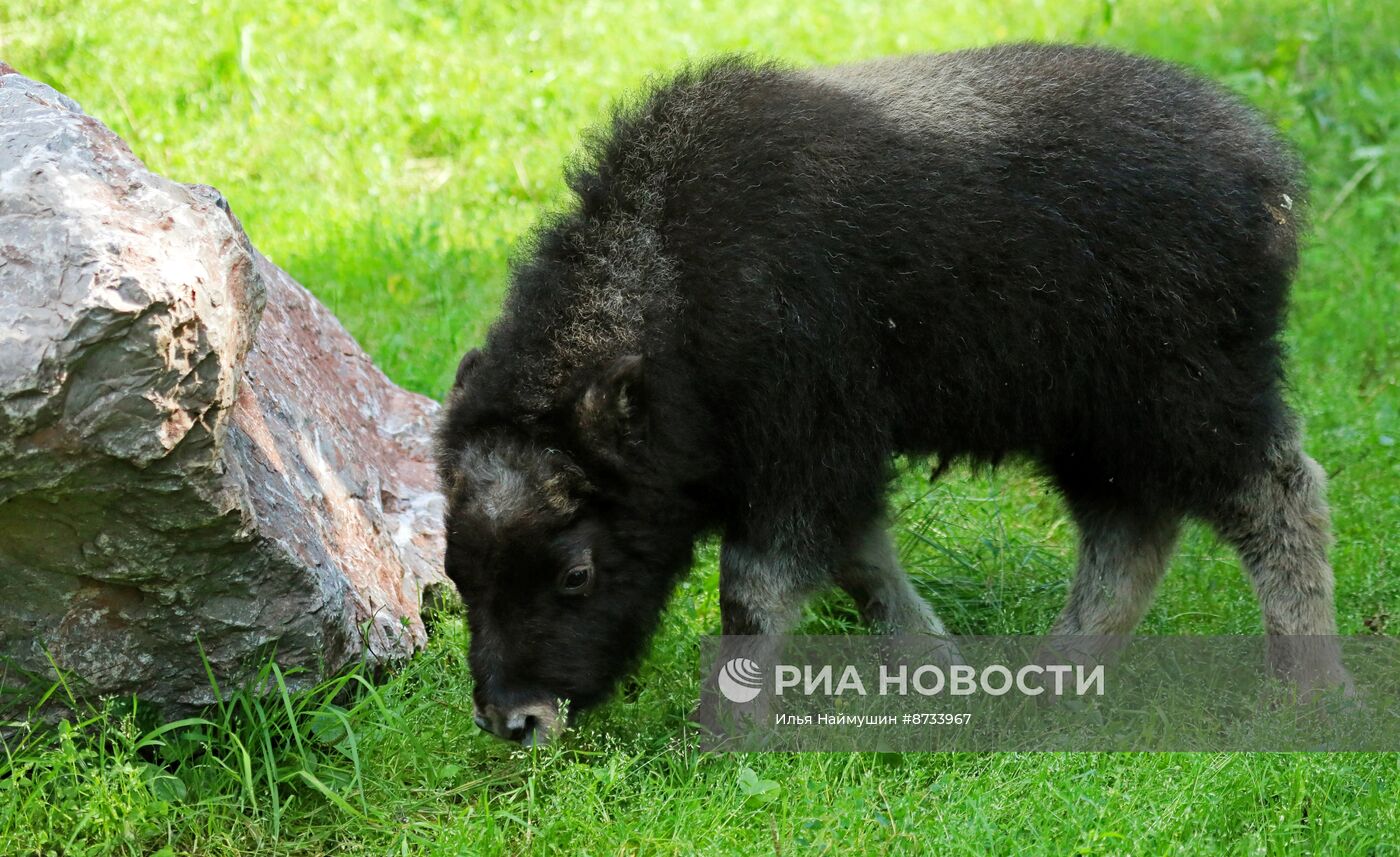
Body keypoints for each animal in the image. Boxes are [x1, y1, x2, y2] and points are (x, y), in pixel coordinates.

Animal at [434, 45, 1344, 744]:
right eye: (454, 567)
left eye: (576, 572)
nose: (515, 720)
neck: (678, 277)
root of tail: (1264, 167)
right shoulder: (826, 463)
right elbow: (862, 562)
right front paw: (942, 672)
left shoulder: (806, 448)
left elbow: (757, 587)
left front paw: (726, 731)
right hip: (1093, 430)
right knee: (1131, 538)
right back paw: (1049, 685)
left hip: (1186, 400)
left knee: (1279, 497)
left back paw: (1310, 697)